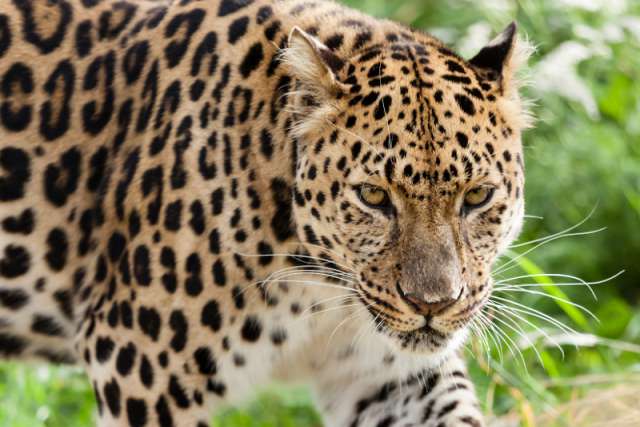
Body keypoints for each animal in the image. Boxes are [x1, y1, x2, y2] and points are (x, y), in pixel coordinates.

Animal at [0, 0, 528, 426]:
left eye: (477, 197)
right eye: (374, 197)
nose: (432, 305)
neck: (319, 287)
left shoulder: (390, 376)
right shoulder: (138, 364)